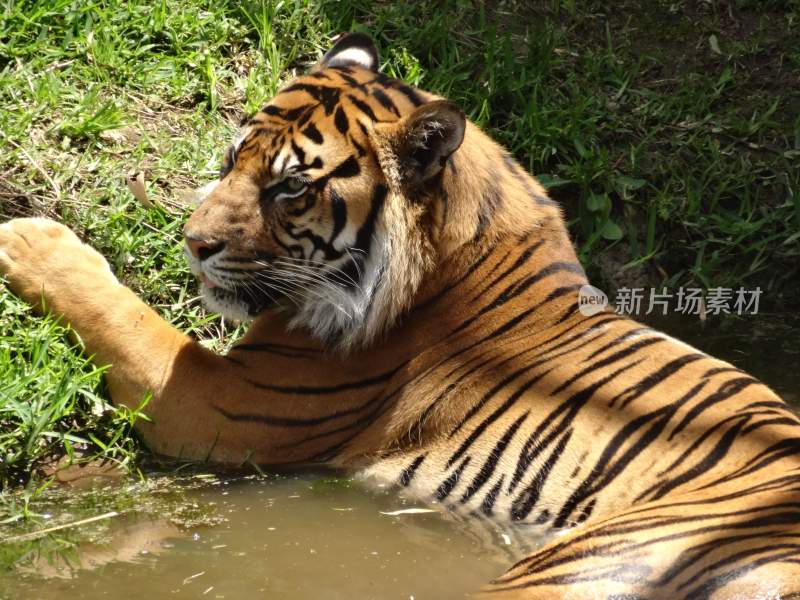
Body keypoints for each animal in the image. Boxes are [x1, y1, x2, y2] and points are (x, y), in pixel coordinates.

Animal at [1, 32, 800, 600]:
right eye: (231, 161)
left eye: (289, 188)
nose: (193, 243)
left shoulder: (217, 402)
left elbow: (126, 314)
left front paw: (29, 236)